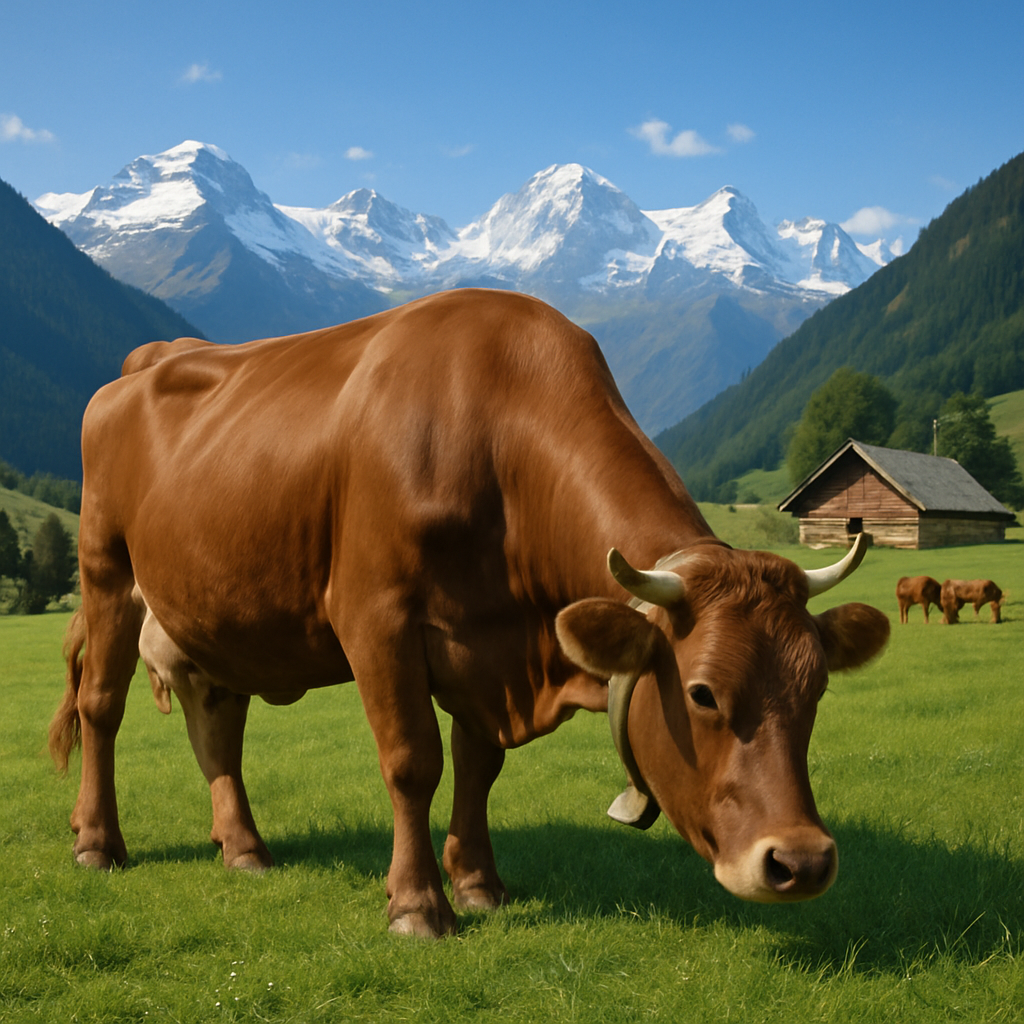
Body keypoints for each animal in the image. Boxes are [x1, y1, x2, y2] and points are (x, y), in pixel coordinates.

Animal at [49, 289, 890, 938]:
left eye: (816, 690)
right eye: (702, 694)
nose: (802, 860)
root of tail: (152, 359)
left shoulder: (489, 645)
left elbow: (480, 766)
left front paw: (480, 884)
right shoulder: (376, 618)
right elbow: (413, 760)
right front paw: (417, 905)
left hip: (214, 612)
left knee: (216, 720)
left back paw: (244, 848)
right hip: (107, 571)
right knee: (101, 706)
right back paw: (97, 842)